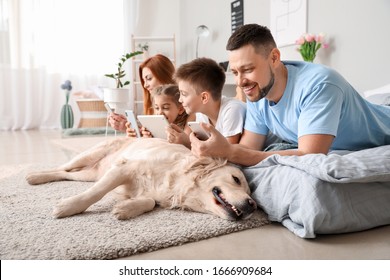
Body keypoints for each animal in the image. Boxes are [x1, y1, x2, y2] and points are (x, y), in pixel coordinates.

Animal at [25, 138, 256, 221]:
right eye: (236, 179)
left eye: (250, 192)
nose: (252, 206)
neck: (177, 179)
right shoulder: (124, 168)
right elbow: (96, 193)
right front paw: (69, 207)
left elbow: (150, 201)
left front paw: (126, 208)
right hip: (89, 155)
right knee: (62, 168)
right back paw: (34, 176)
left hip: (89, 174)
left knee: (67, 174)